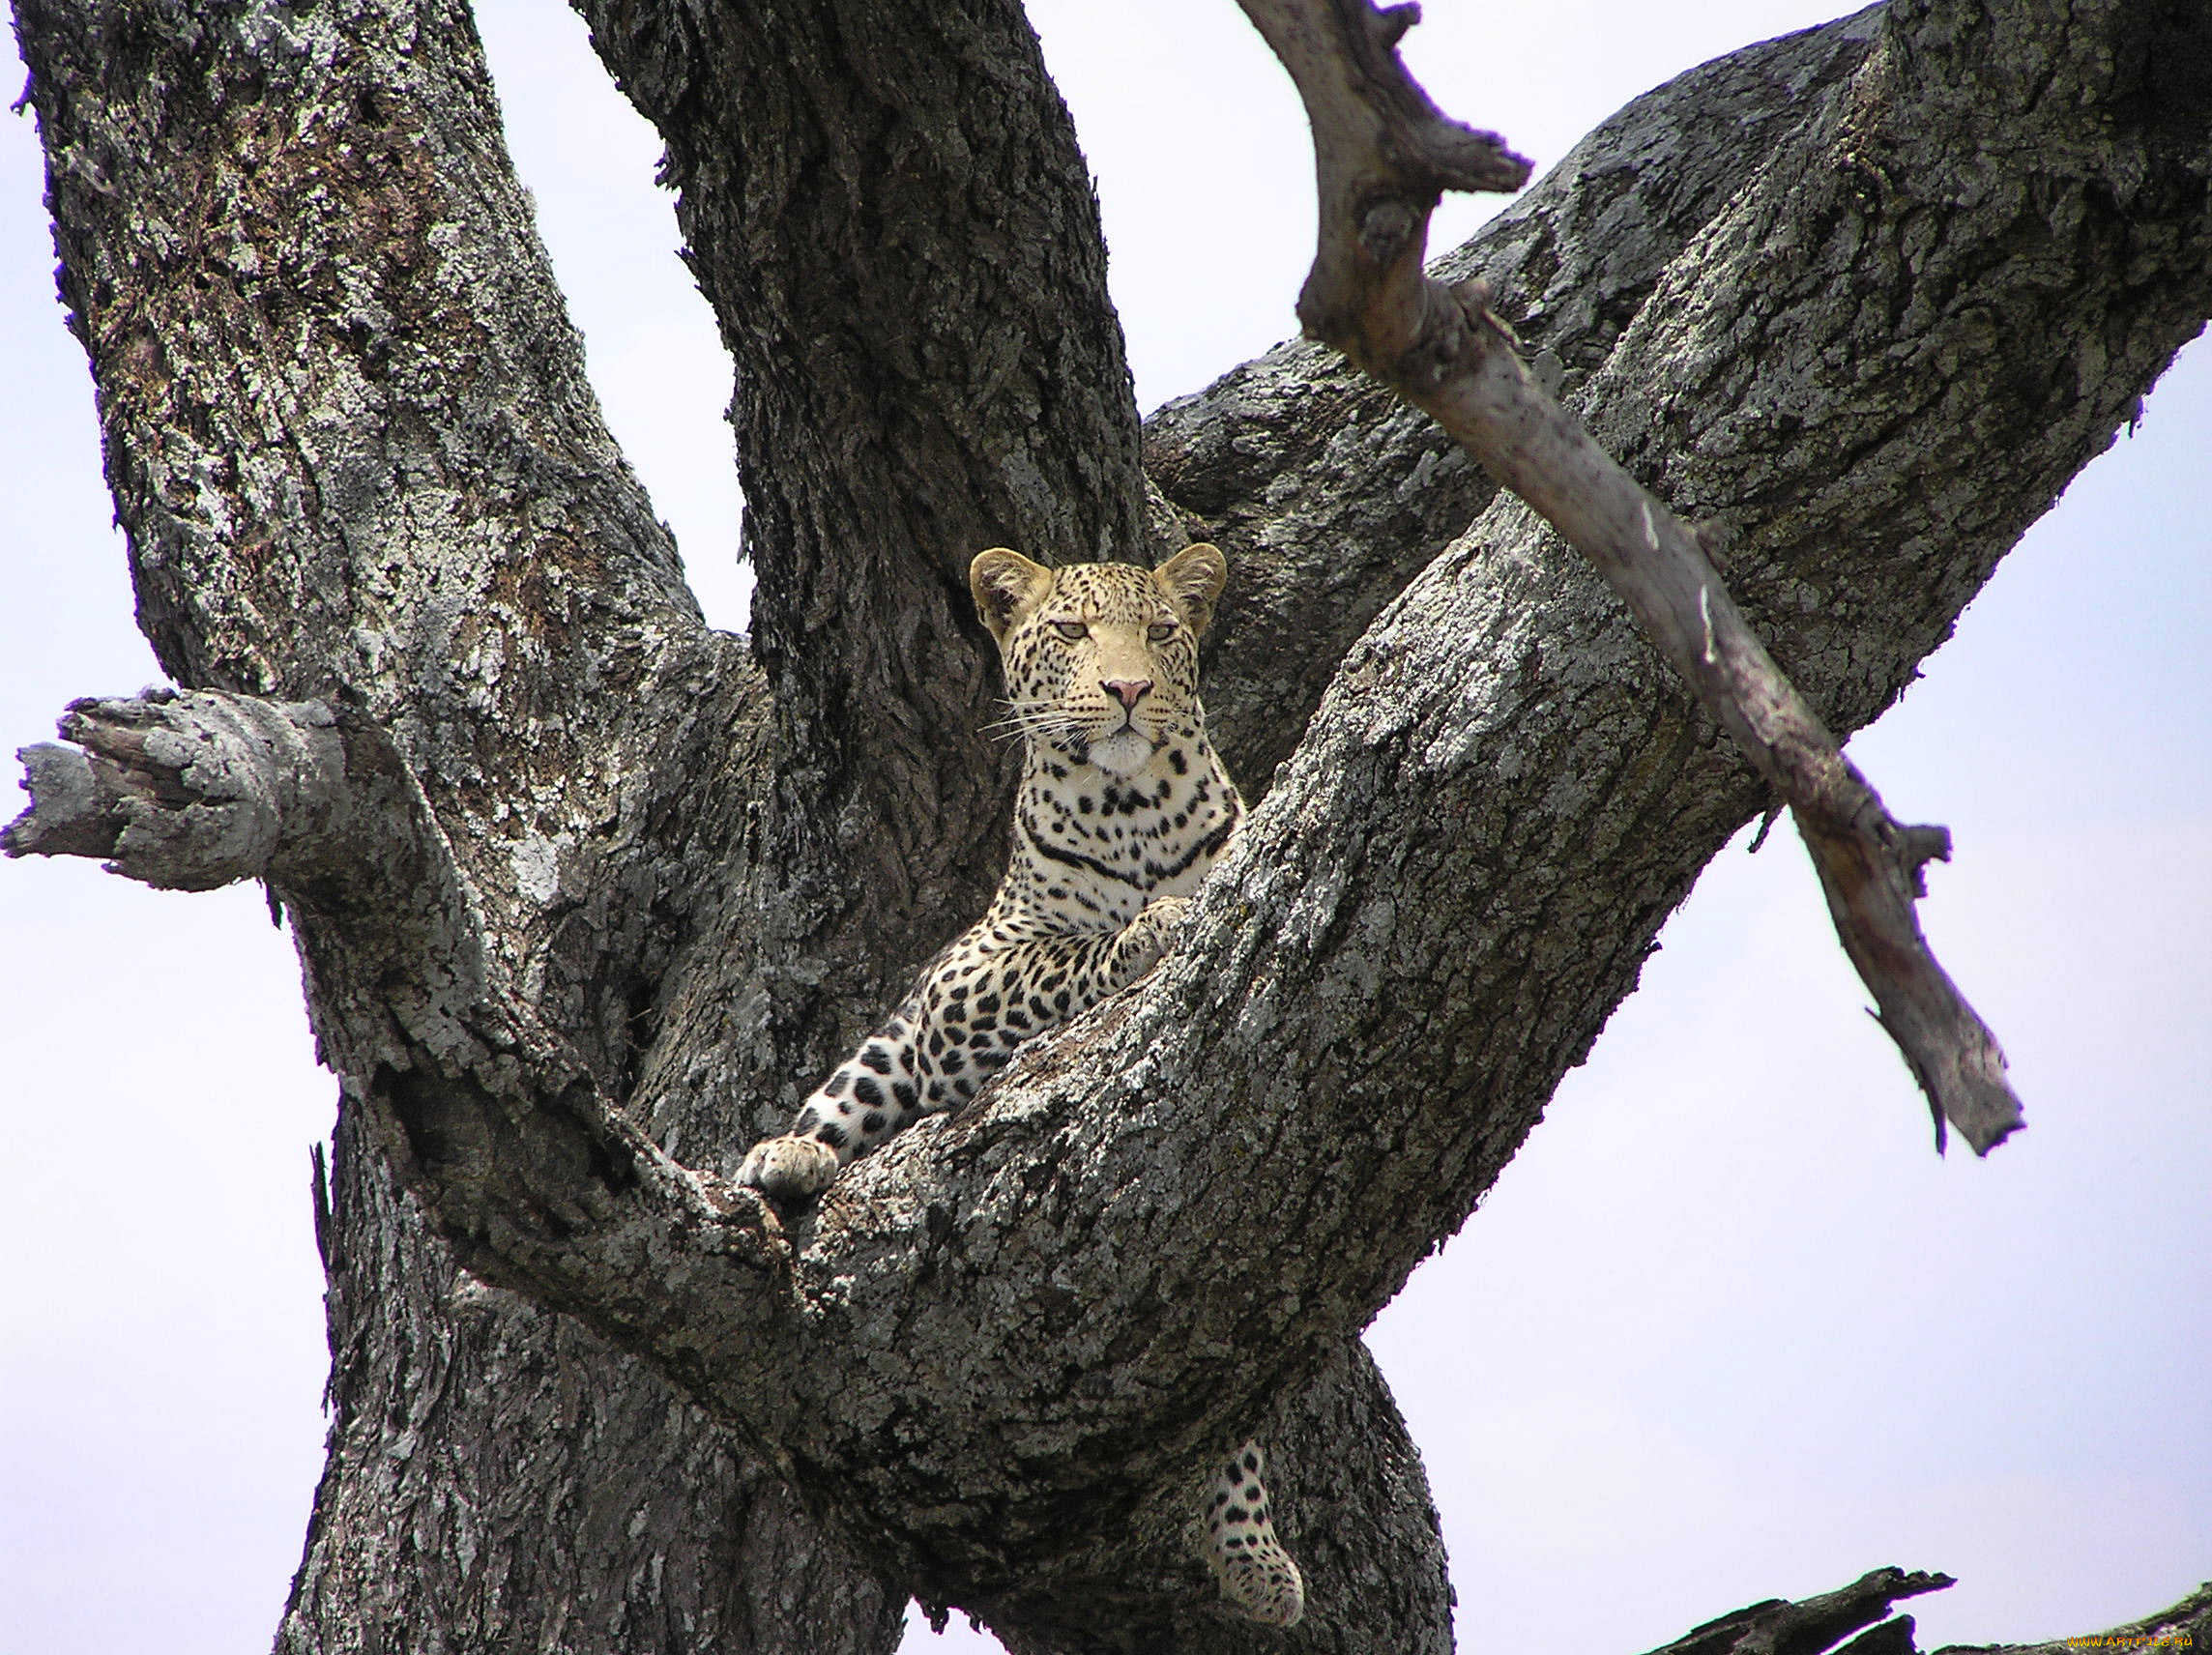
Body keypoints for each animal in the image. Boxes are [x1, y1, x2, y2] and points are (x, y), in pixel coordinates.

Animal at [742, 546, 1300, 1628]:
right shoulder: (971, 972)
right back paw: (784, 1157)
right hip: (894, 1042)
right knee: (843, 1102)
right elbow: (1065, 954)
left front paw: (1249, 1546)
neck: (1131, 814)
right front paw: (1150, 928)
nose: (1126, 690)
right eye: (1075, 632)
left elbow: (1238, 1402)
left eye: (1161, 633)